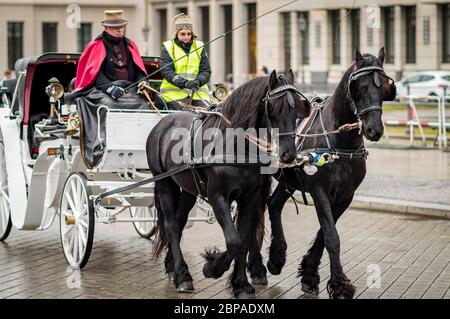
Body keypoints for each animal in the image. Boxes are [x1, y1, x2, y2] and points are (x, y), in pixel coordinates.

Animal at [147, 70, 310, 300]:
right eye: (276, 109)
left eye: (298, 110)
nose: (289, 154)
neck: (235, 146)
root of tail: (164, 121)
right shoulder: (219, 198)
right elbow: (234, 241)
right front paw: (212, 267)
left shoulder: (250, 198)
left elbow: (244, 239)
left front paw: (241, 284)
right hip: (163, 183)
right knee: (170, 224)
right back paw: (183, 276)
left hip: (188, 189)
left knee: (178, 224)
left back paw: (174, 268)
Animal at [266, 47, 396, 300]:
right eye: (359, 86)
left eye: (385, 86)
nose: (374, 129)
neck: (339, 140)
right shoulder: (320, 192)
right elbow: (331, 237)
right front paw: (339, 286)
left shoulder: (346, 195)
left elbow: (324, 235)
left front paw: (309, 276)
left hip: (289, 180)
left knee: (274, 204)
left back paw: (276, 259)